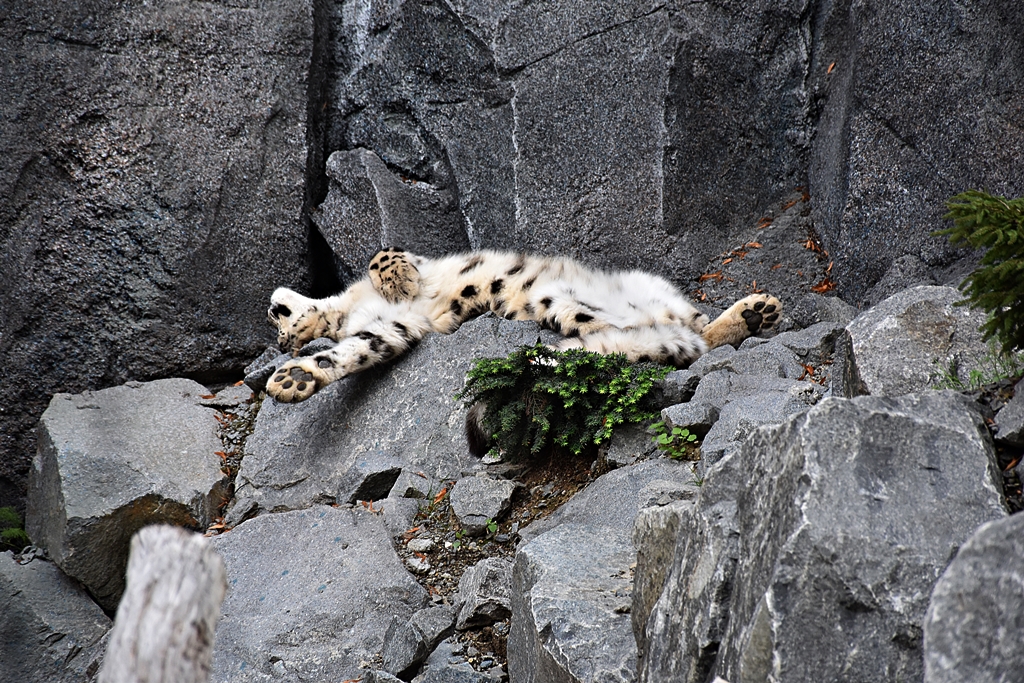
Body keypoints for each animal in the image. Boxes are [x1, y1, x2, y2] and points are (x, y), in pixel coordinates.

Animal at [264, 248, 782, 405]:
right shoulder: (396, 327)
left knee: (699, 324)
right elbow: (358, 347)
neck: (347, 310)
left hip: (648, 286)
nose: (283, 342)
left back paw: (758, 309)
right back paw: (753, 315)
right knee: (689, 341)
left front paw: (397, 276)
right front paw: (295, 379)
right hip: (571, 311)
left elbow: (381, 257)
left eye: (278, 330)